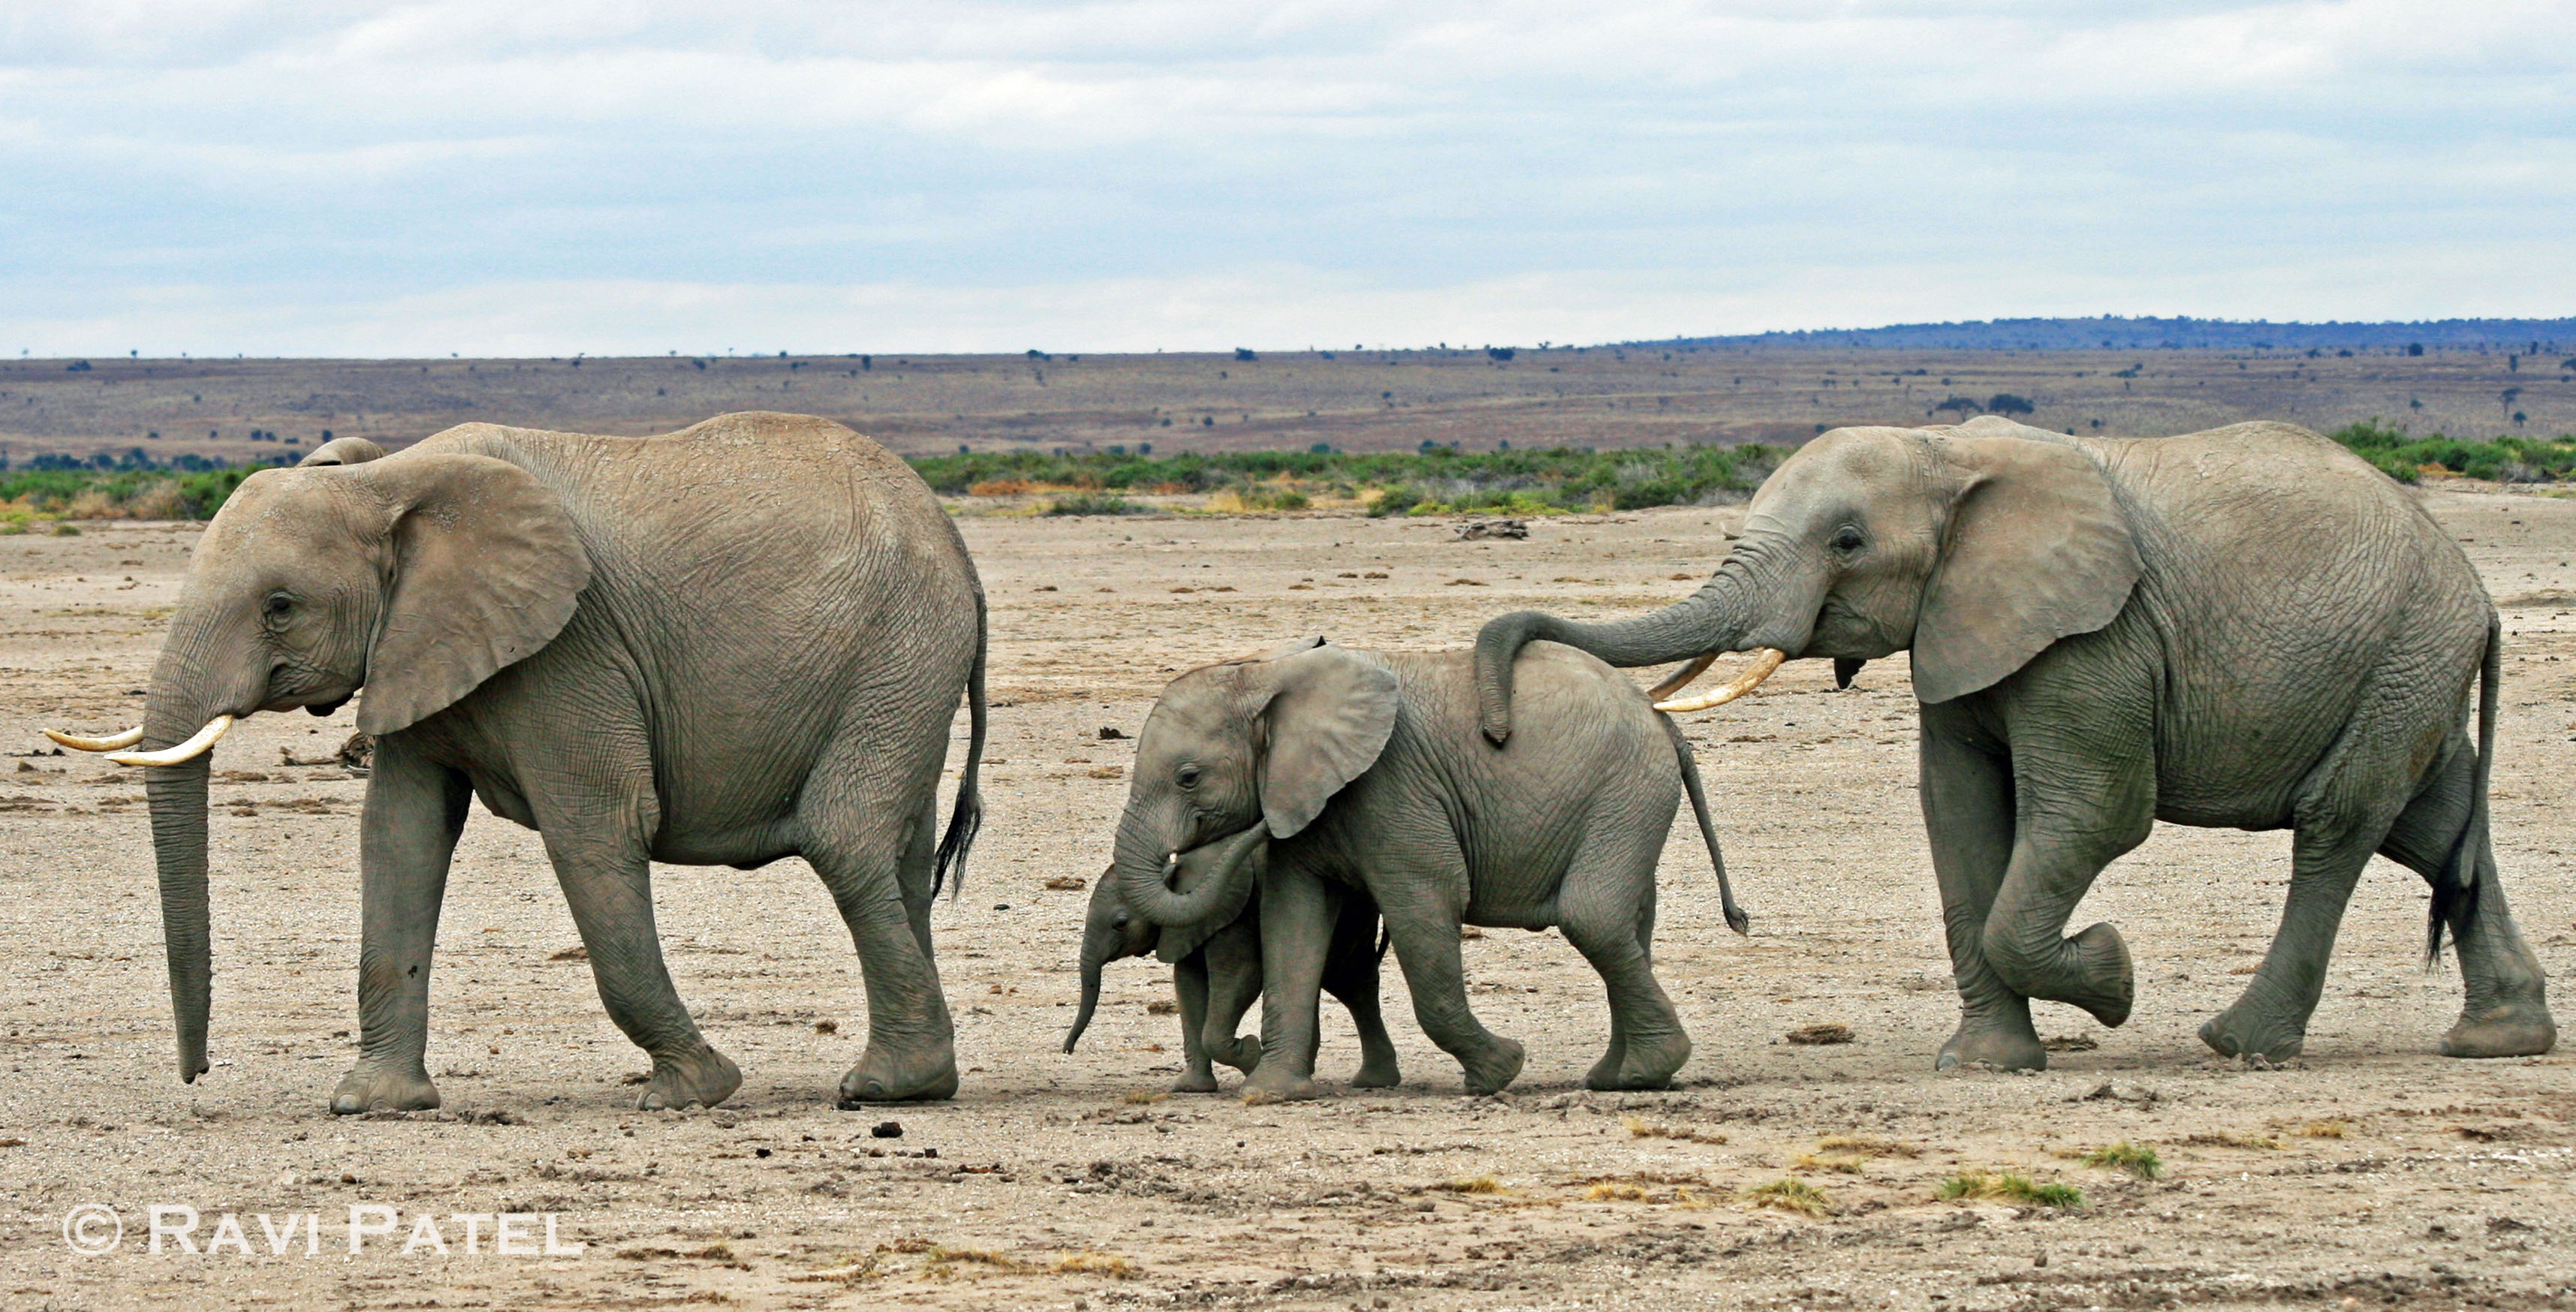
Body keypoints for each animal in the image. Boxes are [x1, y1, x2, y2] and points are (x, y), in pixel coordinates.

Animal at [46, 411, 989, 1112]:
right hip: (904, 666)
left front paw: (695, 1088)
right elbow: (400, 838)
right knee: (900, 857)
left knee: (842, 837)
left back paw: (882, 1087)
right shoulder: (420, 644)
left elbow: (594, 829)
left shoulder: (569, 647)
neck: (391, 480)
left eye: (280, 606)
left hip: (902, 645)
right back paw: (923, 1081)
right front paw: (374, 1102)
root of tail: (953, 537)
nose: (197, 1074)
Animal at [1065, 856, 1400, 1093]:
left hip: (1352, 911)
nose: (1067, 1050)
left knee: (1348, 978)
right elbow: (1188, 986)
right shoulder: (1188, 927)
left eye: (1120, 923)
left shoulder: (1231, 913)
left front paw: (1252, 1056)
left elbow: (1241, 976)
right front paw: (1192, 1088)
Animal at [1107, 637, 1745, 1101]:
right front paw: (1270, 1091)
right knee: (1629, 927)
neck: (1272, 674)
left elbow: (1425, 909)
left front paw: (1499, 1072)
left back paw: (1643, 1073)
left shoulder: (1394, 789)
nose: (1249, 832)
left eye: (1188, 778)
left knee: (1592, 917)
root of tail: (1659, 717)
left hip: (1626, 790)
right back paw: (1619, 1077)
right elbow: (1292, 925)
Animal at [1475, 415, 2556, 1070]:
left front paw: (2113, 977)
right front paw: (1984, 1064)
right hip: (2402, 669)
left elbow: (2091, 814)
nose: (1494, 720)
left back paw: (2237, 1041)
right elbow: (1955, 816)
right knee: (2431, 827)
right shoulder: (1961, 623)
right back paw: (2499, 1038)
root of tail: (2474, 590)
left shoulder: (2097, 637)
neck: (1946, 455)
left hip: (2402, 651)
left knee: (2337, 824)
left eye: (1846, 544)